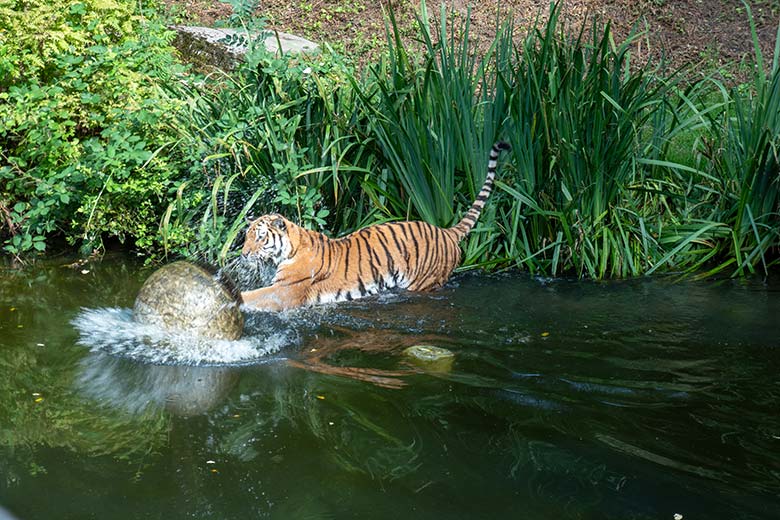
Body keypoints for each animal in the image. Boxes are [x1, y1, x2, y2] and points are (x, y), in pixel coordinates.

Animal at [241, 142, 516, 310]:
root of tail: (444, 231)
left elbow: (254, 296)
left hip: (423, 282)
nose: (243, 254)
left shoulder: (284, 291)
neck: (291, 248)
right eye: (245, 237)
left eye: (260, 237)